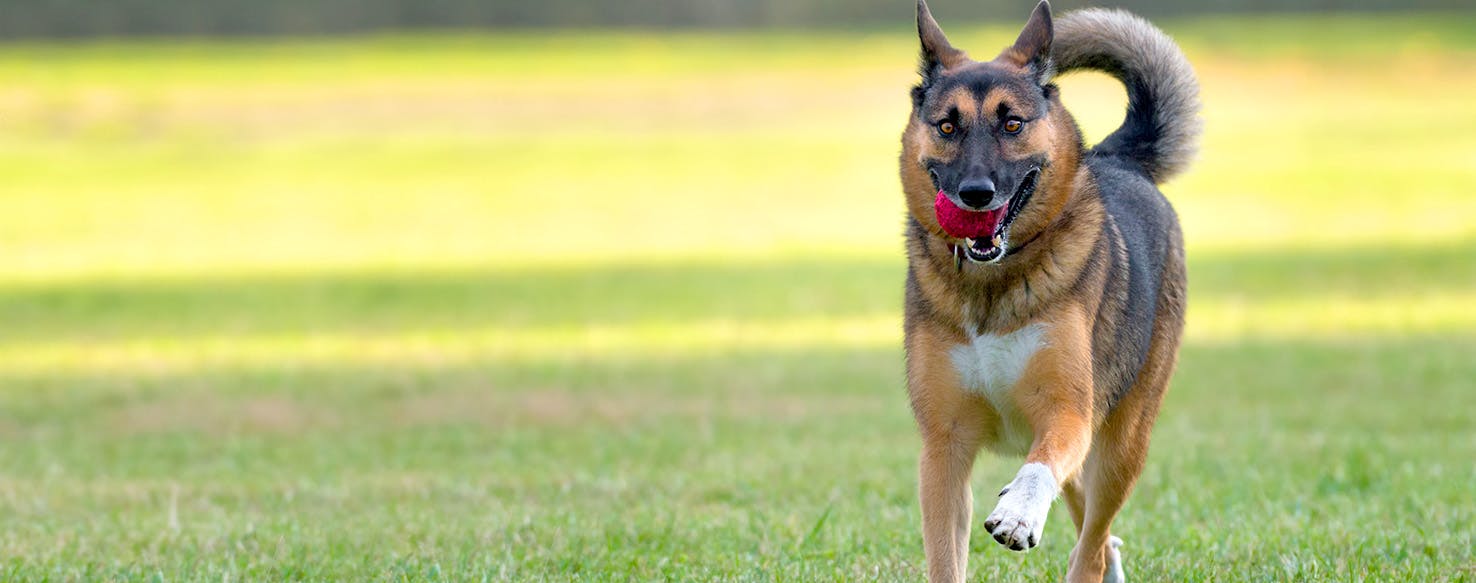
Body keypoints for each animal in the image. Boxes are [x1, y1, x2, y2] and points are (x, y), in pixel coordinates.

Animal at [897, 1, 1198, 583]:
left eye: (1012, 123)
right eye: (947, 126)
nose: (975, 194)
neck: (993, 284)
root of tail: (1118, 159)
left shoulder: (1068, 412)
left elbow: (1040, 469)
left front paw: (1018, 512)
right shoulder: (942, 450)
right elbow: (945, 556)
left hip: (1124, 443)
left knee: (1092, 542)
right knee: (1091, 527)